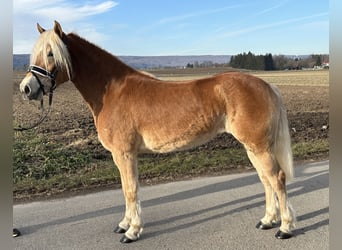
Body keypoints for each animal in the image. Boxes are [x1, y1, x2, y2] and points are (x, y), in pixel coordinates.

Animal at [18, 21, 296, 244]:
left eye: (51, 53)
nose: (27, 88)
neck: (112, 92)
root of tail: (267, 86)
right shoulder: (122, 156)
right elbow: (126, 189)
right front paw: (124, 224)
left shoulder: (125, 154)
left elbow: (130, 190)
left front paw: (132, 231)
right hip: (252, 147)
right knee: (266, 180)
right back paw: (267, 220)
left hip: (259, 146)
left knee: (277, 178)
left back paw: (284, 228)